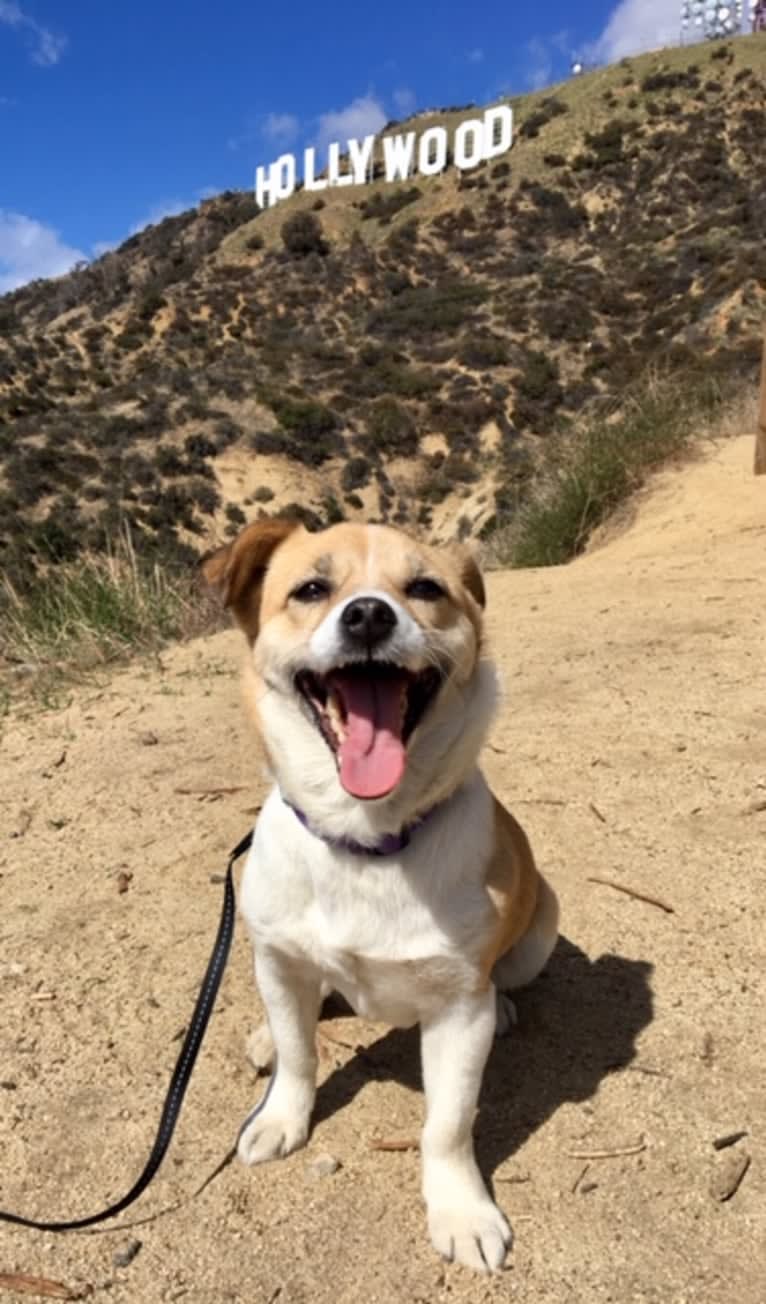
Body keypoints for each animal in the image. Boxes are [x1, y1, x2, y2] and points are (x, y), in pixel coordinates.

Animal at [203, 513, 561, 1267]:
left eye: (425, 588)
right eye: (311, 590)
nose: (368, 614)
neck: (363, 841)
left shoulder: (456, 1010)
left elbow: (447, 1125)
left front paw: (461, 1212)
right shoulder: (276, 956)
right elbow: (301, 1056)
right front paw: (280, 1114)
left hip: (542, 926)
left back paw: (506, 1007)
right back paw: (267, 1035)